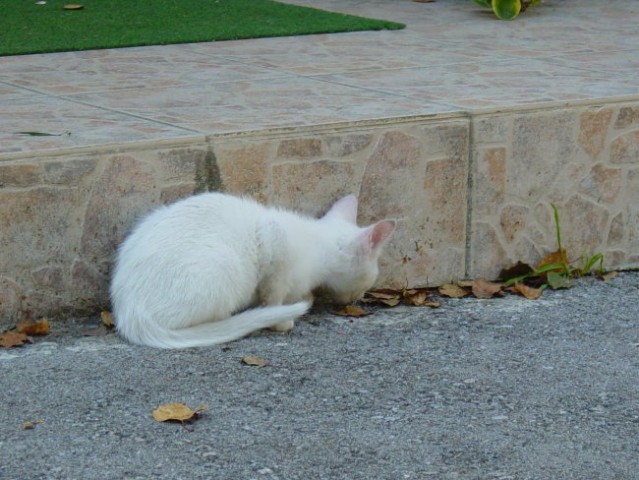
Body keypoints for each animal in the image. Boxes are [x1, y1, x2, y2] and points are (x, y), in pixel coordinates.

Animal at [112, 192, 398, 348]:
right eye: (371, 277)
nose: (358, 299)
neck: (318, 249)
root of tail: (130, 312)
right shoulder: (274, 240)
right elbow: (273, 294)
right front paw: (280, 319)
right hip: (224, 266)